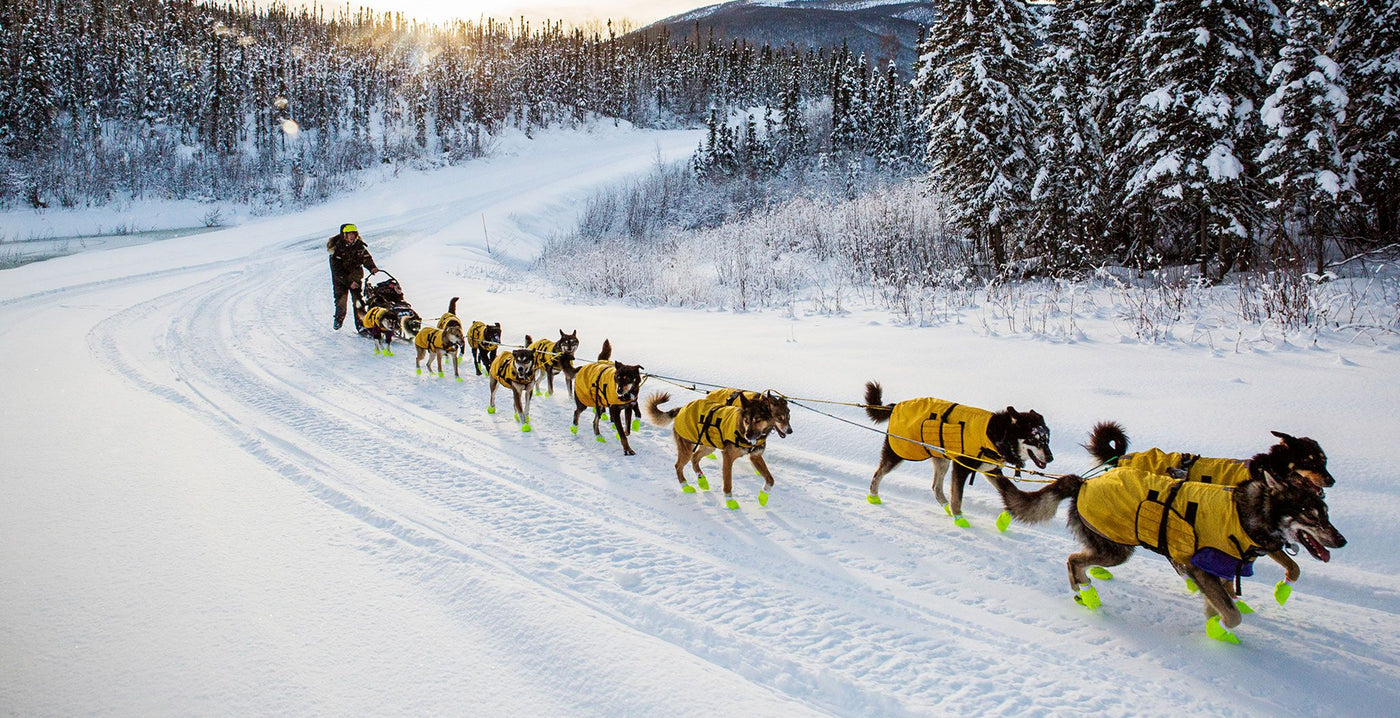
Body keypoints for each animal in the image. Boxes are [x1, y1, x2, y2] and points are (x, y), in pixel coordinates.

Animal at [862, 380, 1052, 526]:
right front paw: (959, 518)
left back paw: (946, 507)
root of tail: (895, 406)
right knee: (878, 474)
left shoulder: (990, 470)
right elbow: (958, 497)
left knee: (936, 487)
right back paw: (873, 496)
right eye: (1035, 438)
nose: (1051, 458)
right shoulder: (961, 468)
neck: (997, 434)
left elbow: (1009, 489)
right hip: (899, 453)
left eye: (1047, 438)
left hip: (941, 460)